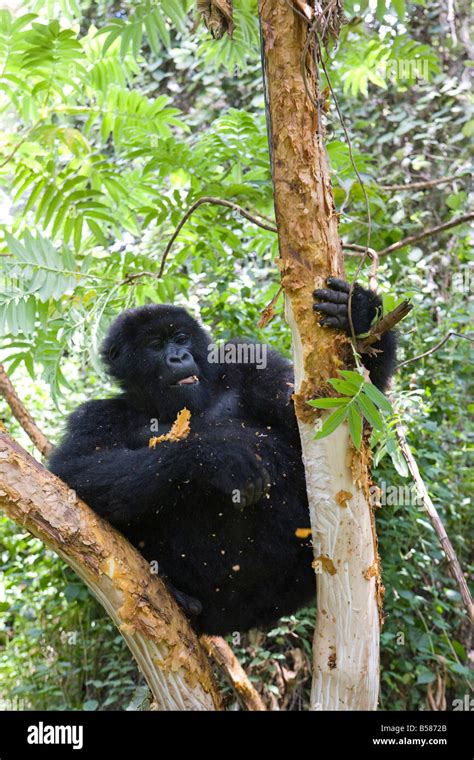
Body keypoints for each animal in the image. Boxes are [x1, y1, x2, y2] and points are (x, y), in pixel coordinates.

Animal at [49, 280, 396, 636]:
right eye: (155, 345)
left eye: (181, 338)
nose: (179, 356)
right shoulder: (95, 414)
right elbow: (75, 469)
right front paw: (217, 458)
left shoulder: (251, 362)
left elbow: (328, 418)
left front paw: (358, 311)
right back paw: (179, 594)